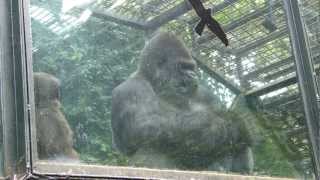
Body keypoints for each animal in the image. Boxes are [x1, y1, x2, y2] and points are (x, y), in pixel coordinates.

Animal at [111, 32, 254, 173]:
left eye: (191, 67)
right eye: (182, 67)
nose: (193, 75)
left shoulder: (204, 93)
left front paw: (234, 125)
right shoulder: (130, 89)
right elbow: (143, 125)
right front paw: (221, 125)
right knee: (151, 141)